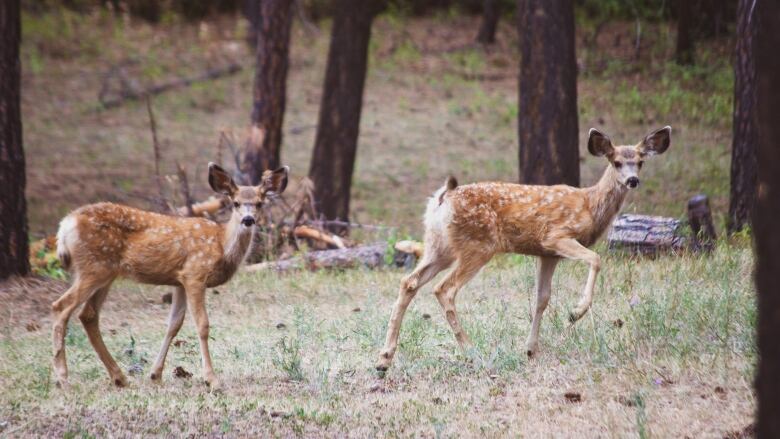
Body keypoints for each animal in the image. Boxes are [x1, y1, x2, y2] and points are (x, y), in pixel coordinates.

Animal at [51, 164, 290, 388]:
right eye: (236, 202)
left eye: (260, 203)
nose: (248, 220)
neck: (221, 244)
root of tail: (65, 226)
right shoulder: (195, 273)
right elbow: (202, 325)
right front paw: (211, 379)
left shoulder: (179, 280)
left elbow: (173, 325)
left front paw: (155, 374)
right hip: (94, 268)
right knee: (61, 306)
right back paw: (62, 377)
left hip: (104, 273)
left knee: (88, 315)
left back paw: (119, 377)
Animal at [376, 127, 672, 372]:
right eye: (616, 162)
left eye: (640, 162)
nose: (632, 180)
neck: (590, 205)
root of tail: (442, 199)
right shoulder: (555, 236)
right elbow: (596, 259)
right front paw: (576, 312)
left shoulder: (547, 254)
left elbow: (542, 298)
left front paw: (530, 349)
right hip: (477, 245)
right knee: (444, 289)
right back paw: (471, 352)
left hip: (440, 247)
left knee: (409, 282)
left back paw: (384, 358)